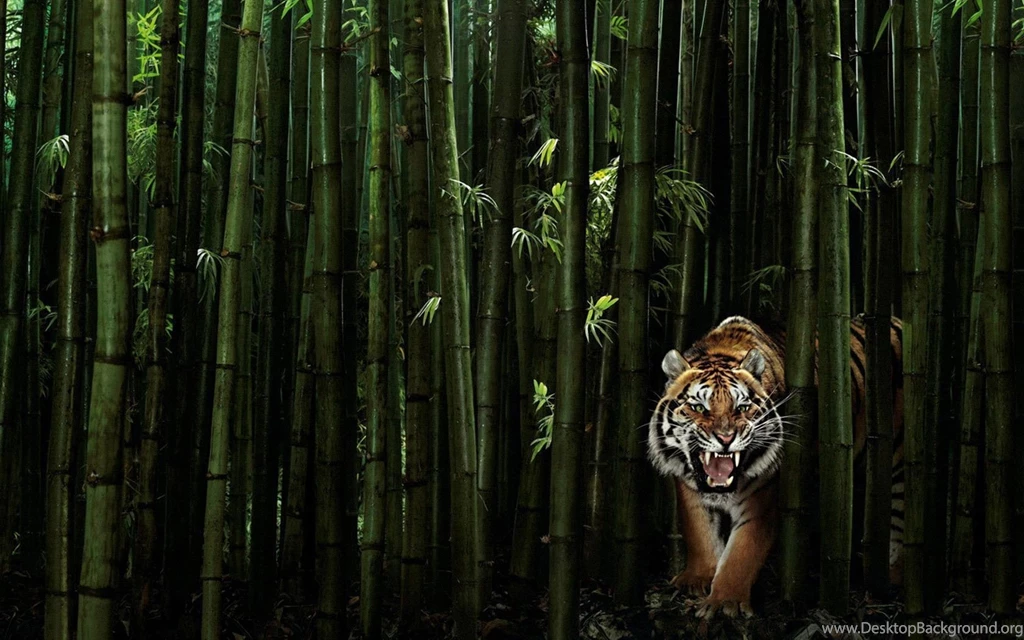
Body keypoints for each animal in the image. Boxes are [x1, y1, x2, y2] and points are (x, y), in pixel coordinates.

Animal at [647, 315, 904, 618]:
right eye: (699, 407)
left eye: (742, 407)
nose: (725, 438)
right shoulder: (689, 488)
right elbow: (699, 533)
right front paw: (696, 579)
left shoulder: (763, 496)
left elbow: (742, 552)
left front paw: (724, 603)